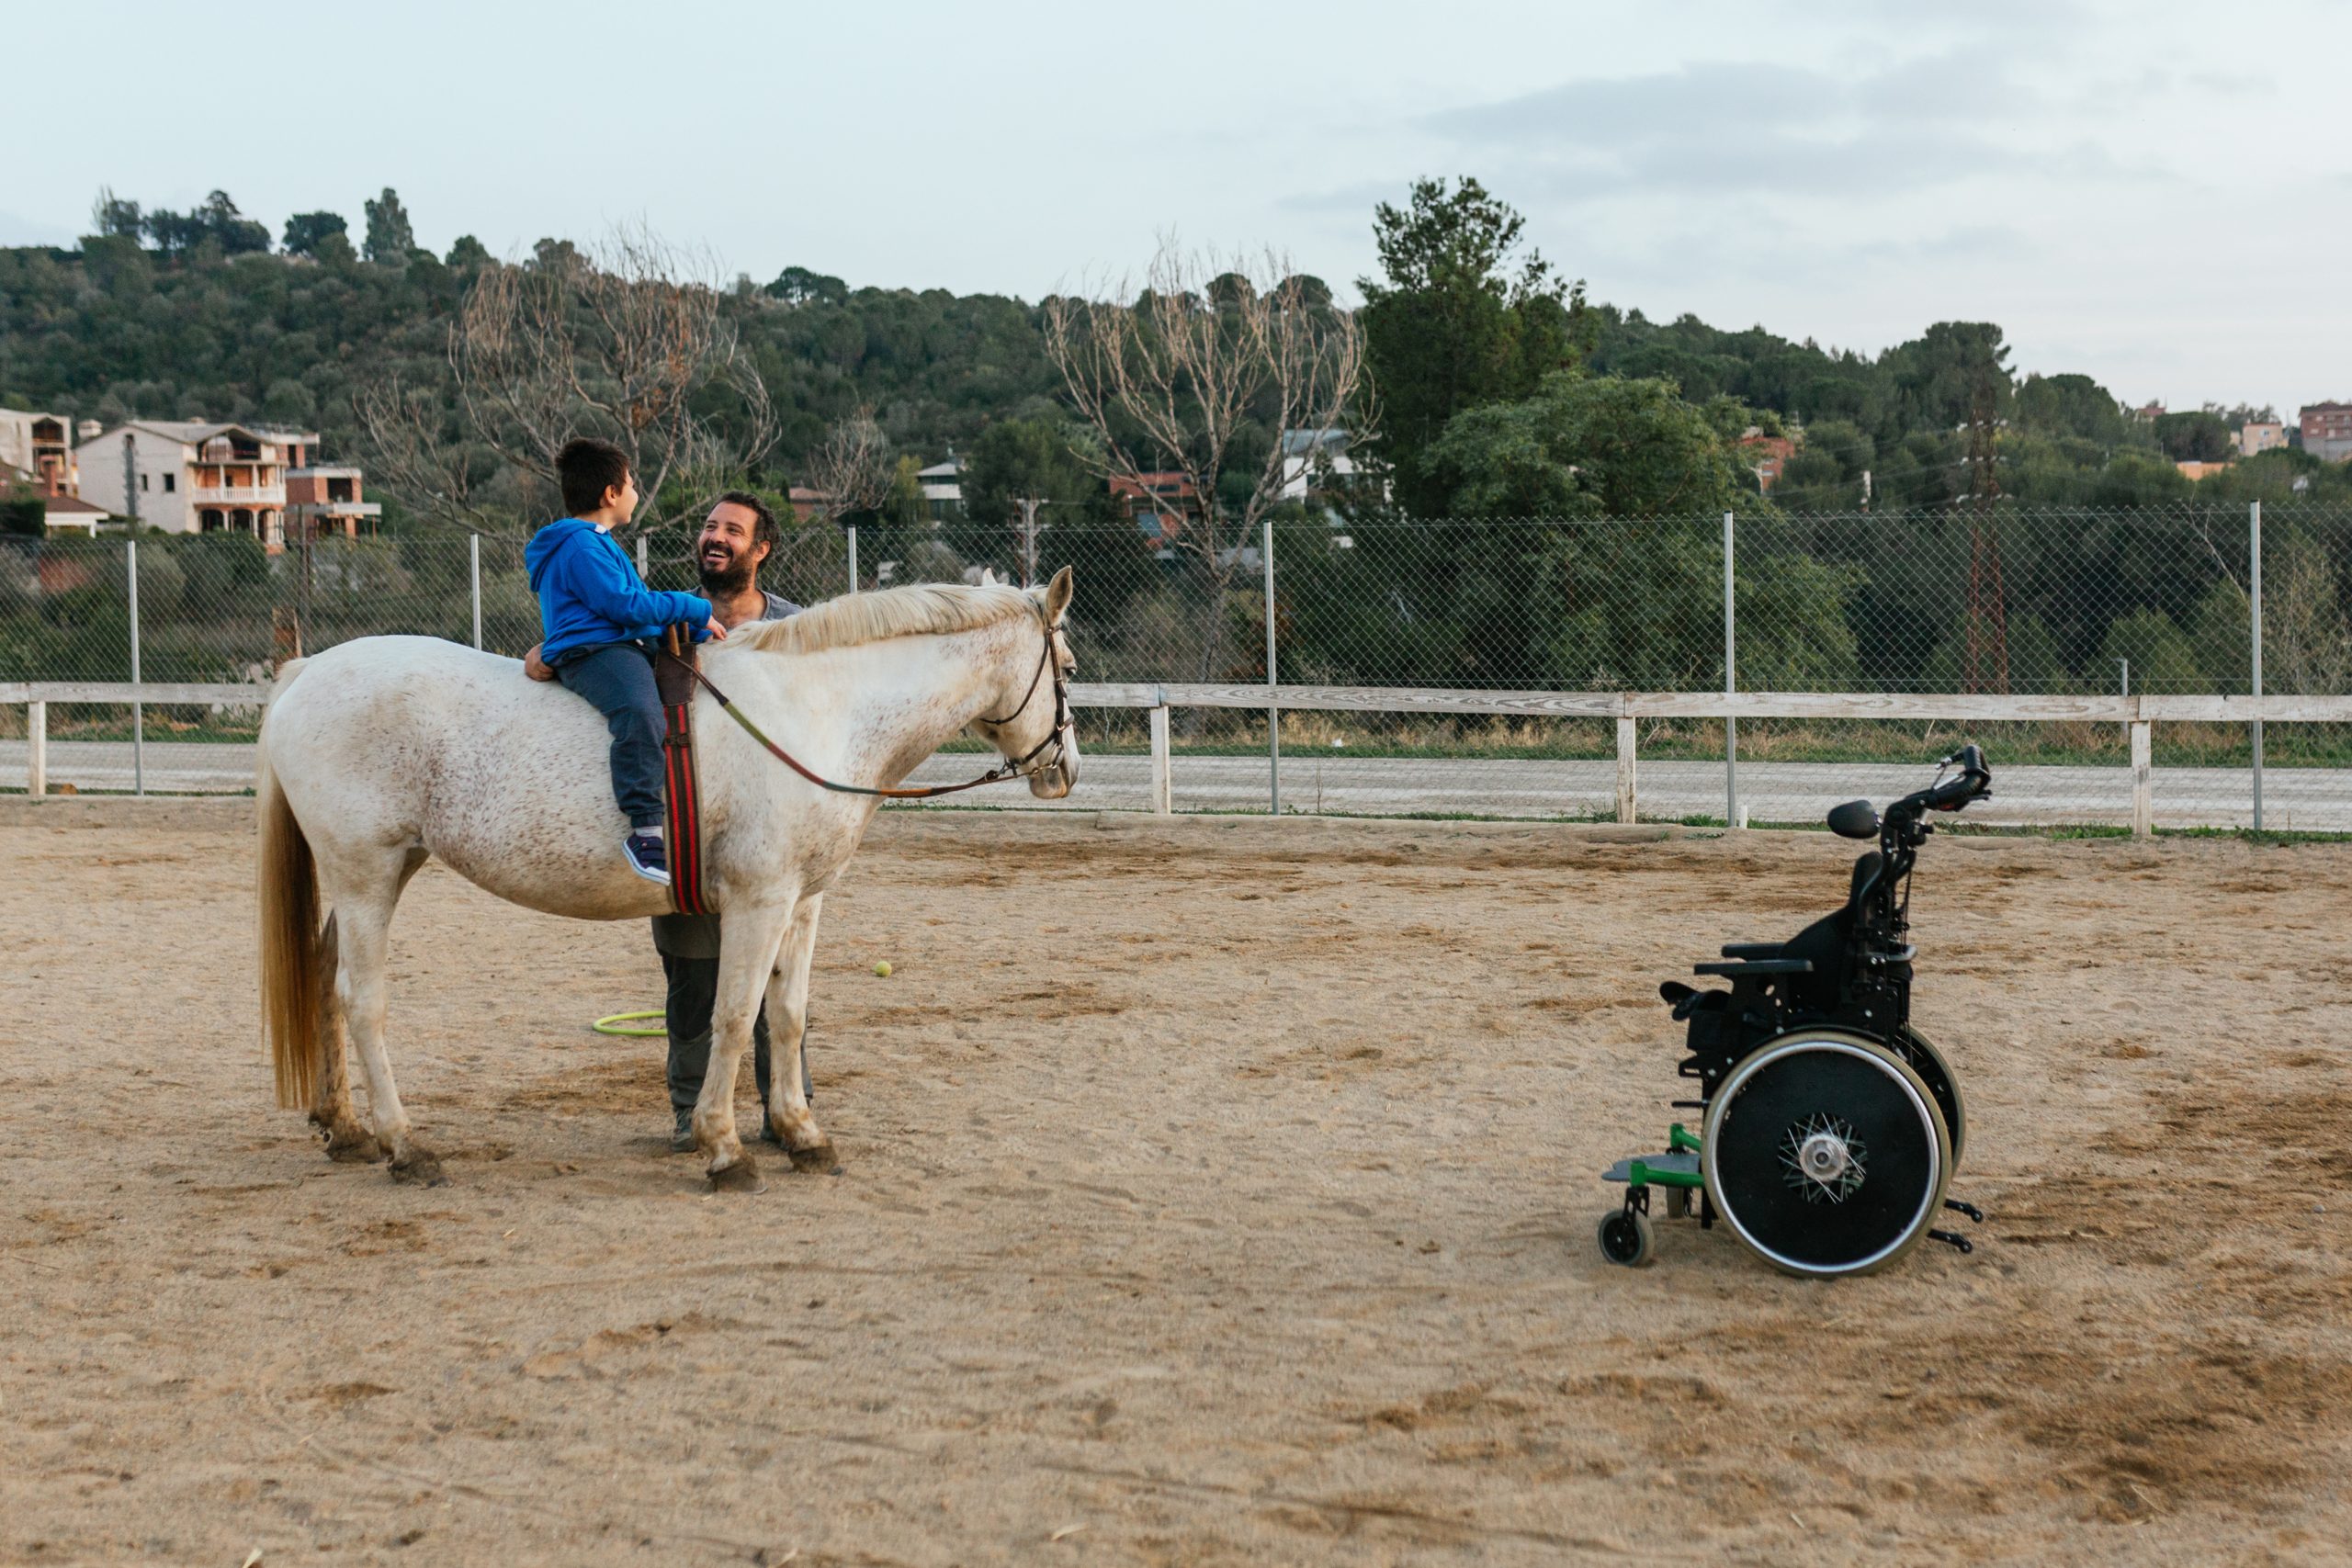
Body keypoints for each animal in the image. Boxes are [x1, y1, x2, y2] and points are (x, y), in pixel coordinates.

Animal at [253, 570, 1077, 1184]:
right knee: (362, 1000)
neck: (816, 709)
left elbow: (787, 1016)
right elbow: (734, 1015)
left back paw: (345, 1127)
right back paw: (404, 1143)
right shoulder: (758, 899)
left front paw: (801, 1133)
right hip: (366, 873)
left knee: (323, 976)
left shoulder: (802, 902)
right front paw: (724, 1145)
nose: (1065, 769)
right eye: (1068, 668)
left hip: (377, 873)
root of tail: (307, 671)